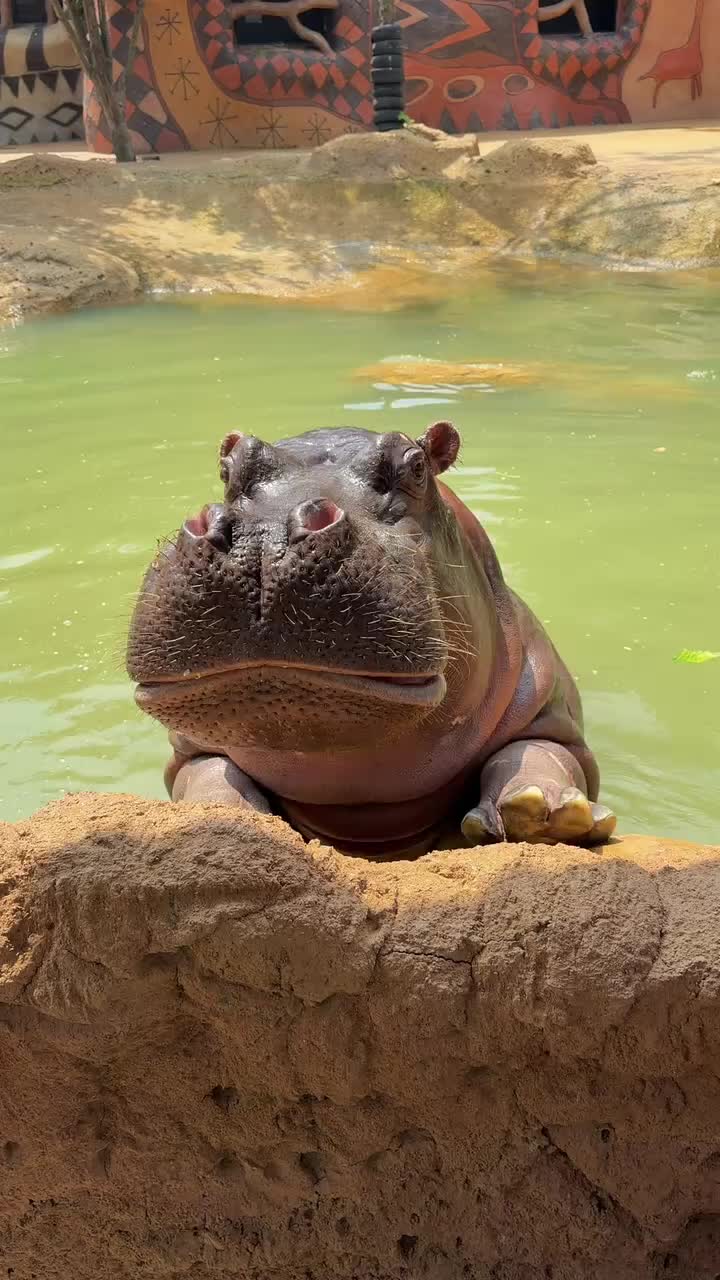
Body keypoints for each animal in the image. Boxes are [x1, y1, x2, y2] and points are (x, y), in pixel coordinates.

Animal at [127, 423, 616, 857]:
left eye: (416, 466)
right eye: (227, 468)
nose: (264, 532)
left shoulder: (549, 708)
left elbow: (539, 753)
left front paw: (543, 811)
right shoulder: (191, 748)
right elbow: (208, 773)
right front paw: (217, 818)